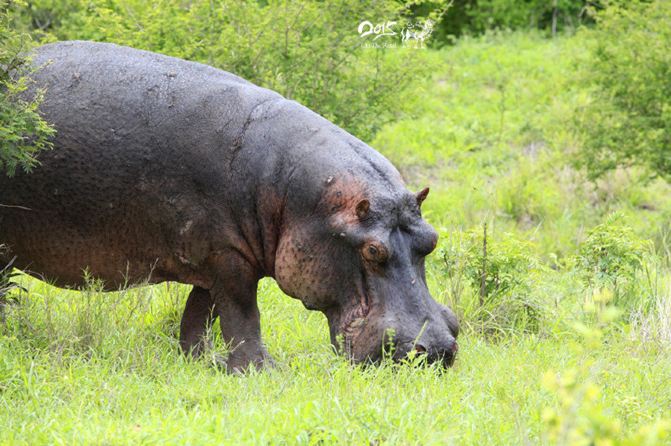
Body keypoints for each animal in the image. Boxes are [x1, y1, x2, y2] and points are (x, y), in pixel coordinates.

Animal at [0, 41, 460, 372]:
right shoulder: (229, 257)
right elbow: (242, 314)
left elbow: (198, 314)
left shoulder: (212, 258)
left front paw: (201, 362)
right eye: (372, 251)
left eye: (433, 240)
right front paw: (262, 371)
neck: (294, 191)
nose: (437, 350)